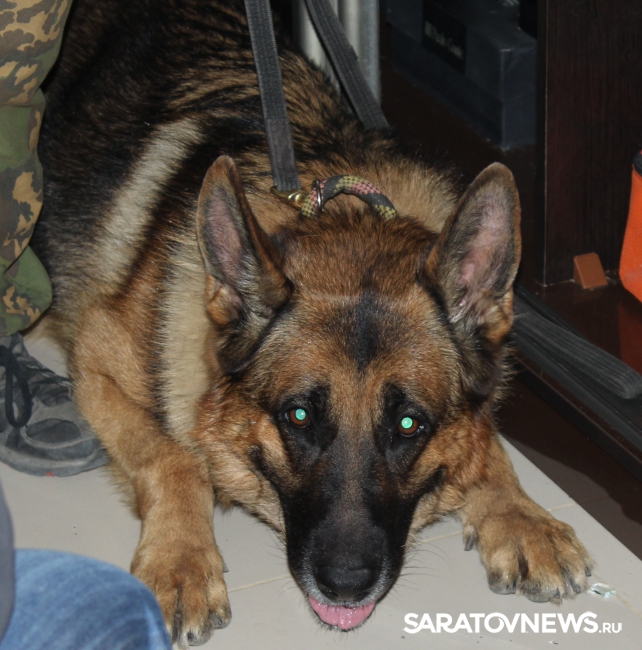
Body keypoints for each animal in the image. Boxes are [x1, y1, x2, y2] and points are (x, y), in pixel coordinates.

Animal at [33, 0, 592, 645]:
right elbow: (172, 458)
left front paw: (519, 512)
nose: (346, 585)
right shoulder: (94, 362)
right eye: (298, 416)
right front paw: (180, 560)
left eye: (409, 425)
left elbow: (487, 439)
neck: (344, 205)